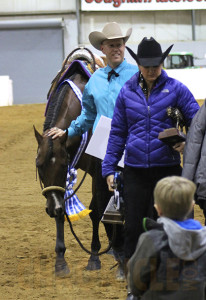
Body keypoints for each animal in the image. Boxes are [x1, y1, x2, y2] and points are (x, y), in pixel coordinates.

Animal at [33, 47, 107, 276]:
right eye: (39, 166)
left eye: (63, 164)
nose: (51, 208)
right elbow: (62, 211)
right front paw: (60, 260)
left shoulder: (98, 171)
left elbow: (96, 211)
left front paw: (94, 257)